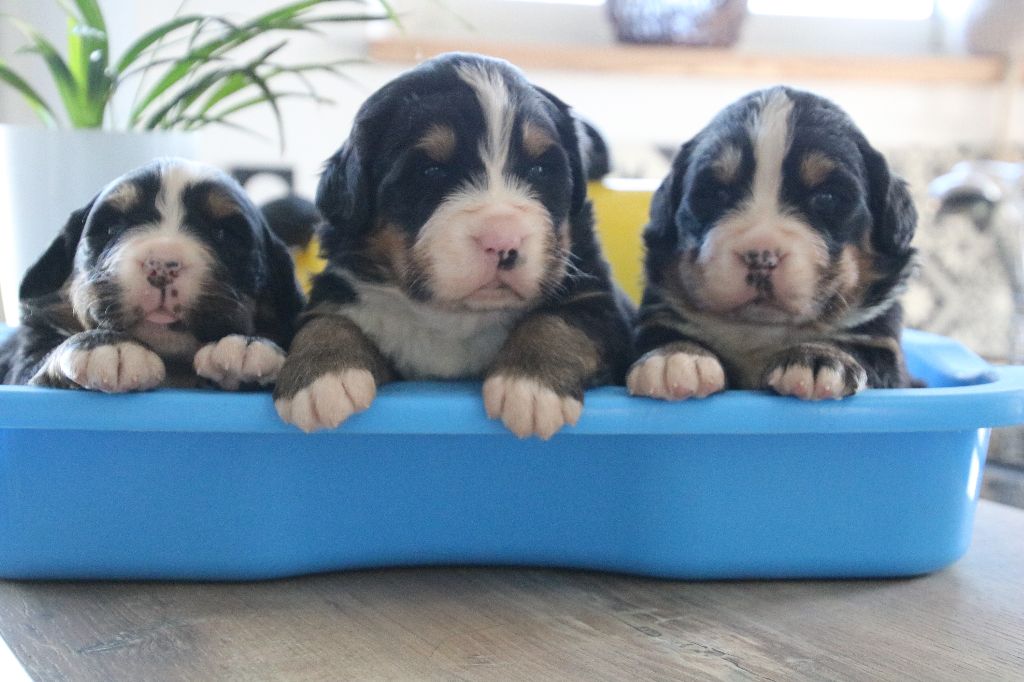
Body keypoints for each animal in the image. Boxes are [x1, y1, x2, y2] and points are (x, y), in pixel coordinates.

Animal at [0, 157, 303, 387]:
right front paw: (105, 347)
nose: (162, 264)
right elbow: (41, 358)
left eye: (223, 234)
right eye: (112, 227)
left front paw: (247, 345)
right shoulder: (21, 364)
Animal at [276, 51, 634, 436]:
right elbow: (327, 321)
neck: (454, 317)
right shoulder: (340, 289)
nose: (502, 240)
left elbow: (557, 322)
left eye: (539, 169)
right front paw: (322, 377)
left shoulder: (599, 302)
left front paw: (530, 386)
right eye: (430, 172)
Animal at [626, 87, 917, 401]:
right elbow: (664, 334)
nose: (761, 257)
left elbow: (854, 346)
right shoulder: (659, 317)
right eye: (716, 194)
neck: (761, 331)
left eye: (826, 198)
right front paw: (675, 358)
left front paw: (818, 358)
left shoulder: (883, 345)